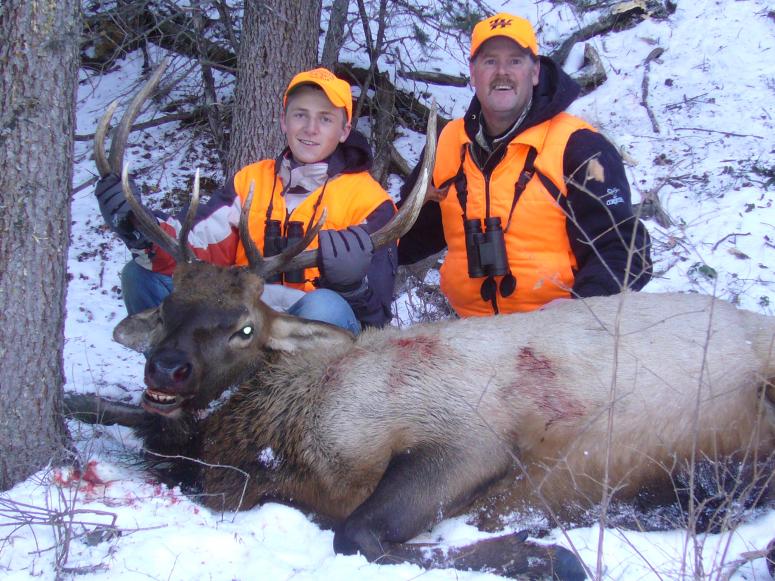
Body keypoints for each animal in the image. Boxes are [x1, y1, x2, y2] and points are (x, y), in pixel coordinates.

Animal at [66, 60, 775, 580]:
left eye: (246, 327)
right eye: (168, 309)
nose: (167, 369)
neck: (284, 447)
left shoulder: (468, 432)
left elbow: (357, 532)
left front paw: (542, 549)